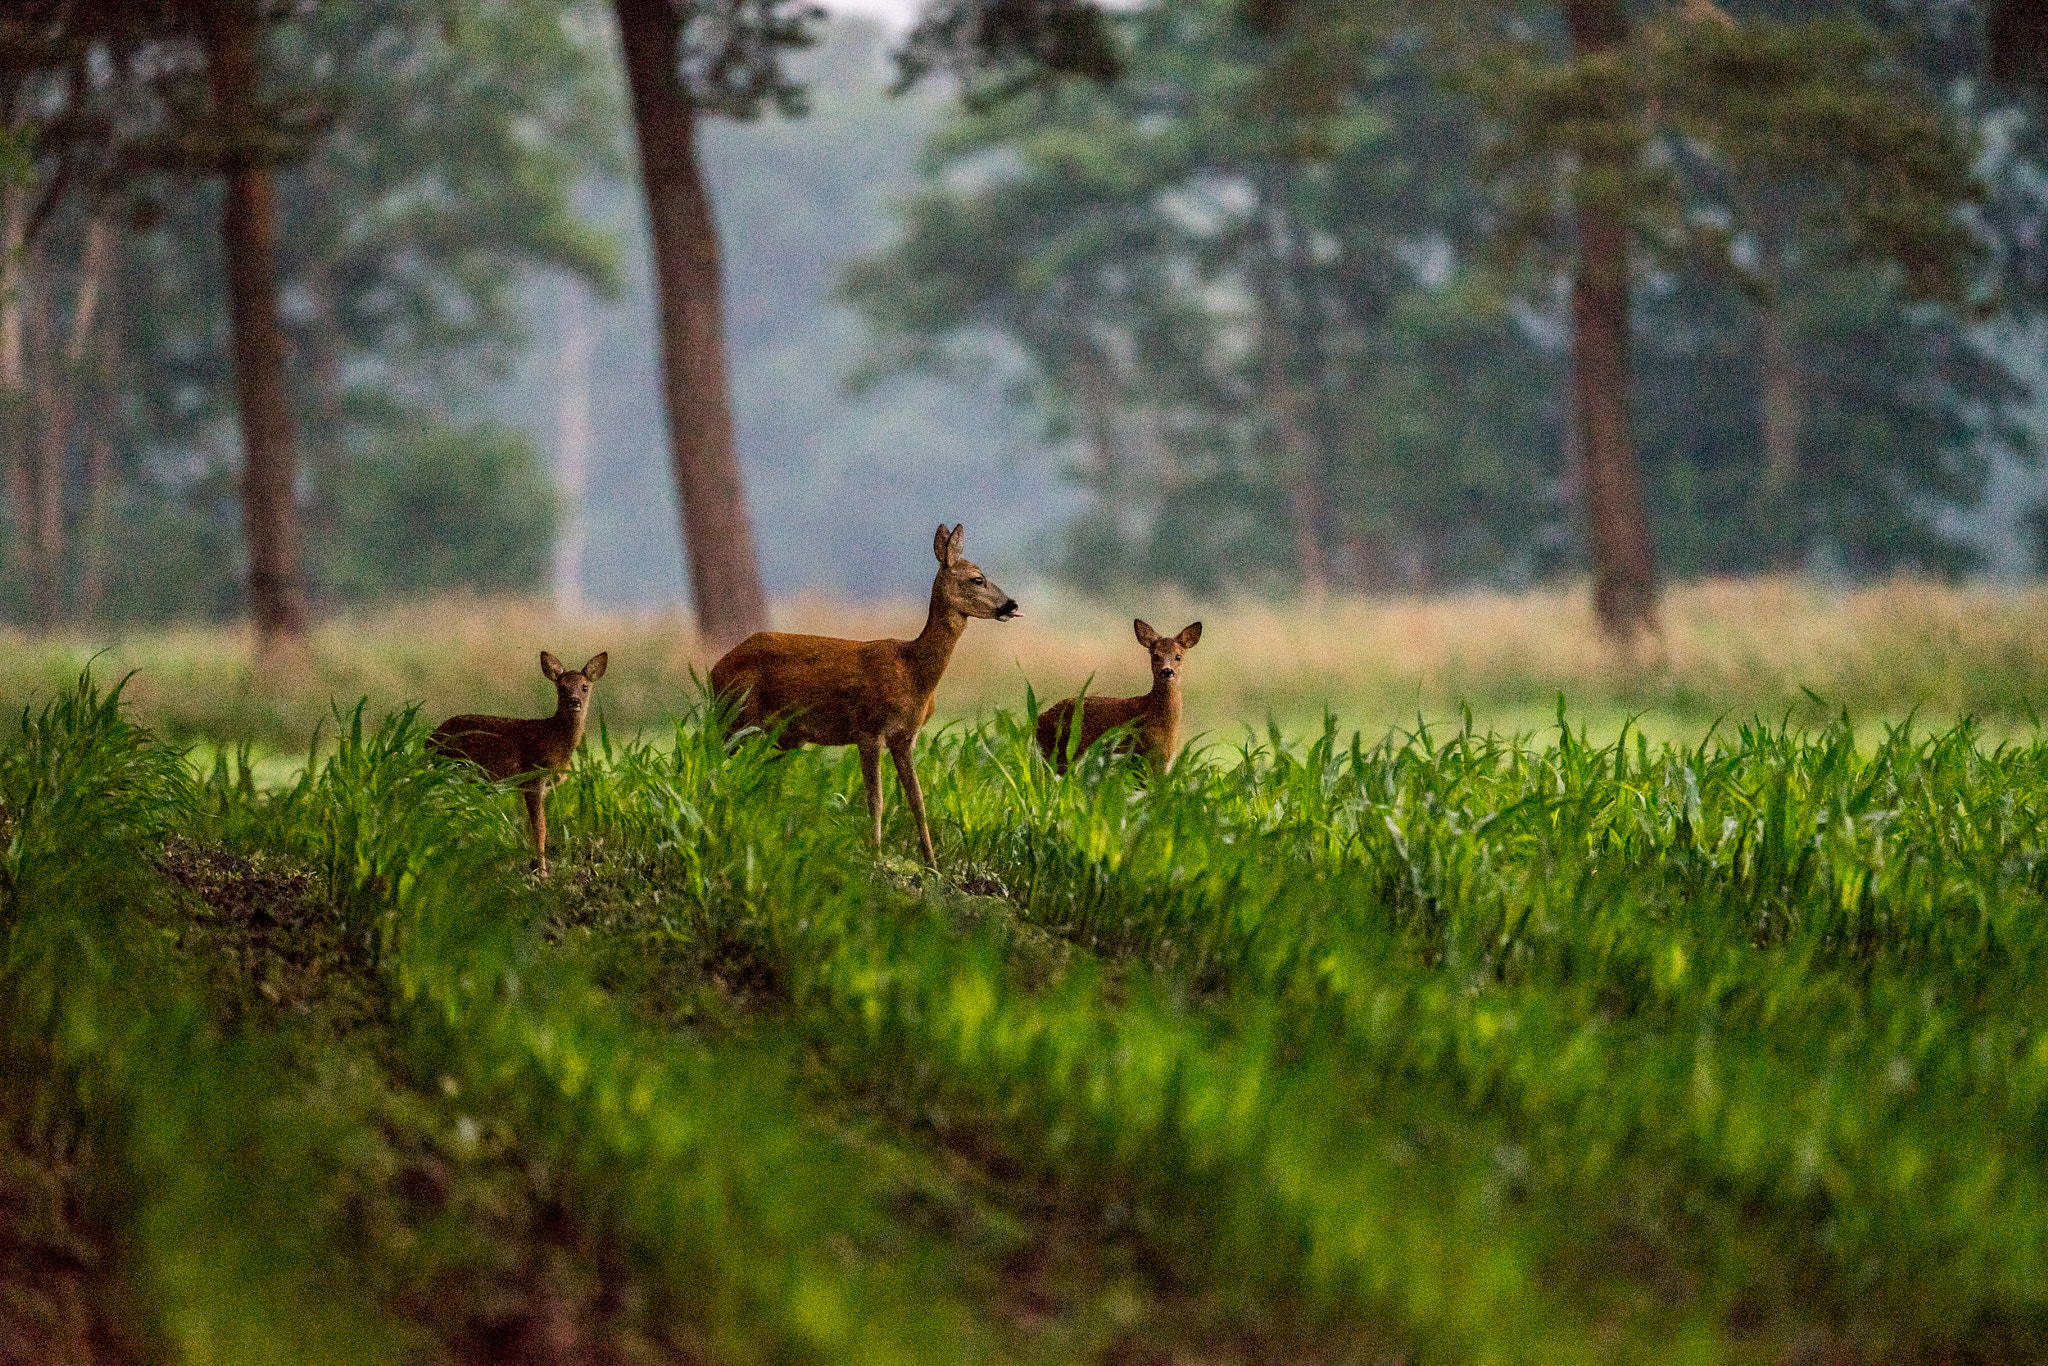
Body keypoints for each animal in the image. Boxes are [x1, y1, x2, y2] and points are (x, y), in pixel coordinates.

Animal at [428, 650, 608, 874]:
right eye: (562, 687)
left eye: (584, 686)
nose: (574, 701)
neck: (555, 738)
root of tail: (428, 741)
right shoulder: (533, 777)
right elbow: (540, 828)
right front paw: (542, 872)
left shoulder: (542, 786)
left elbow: (532, 827)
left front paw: (533, 866)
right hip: (451, 767)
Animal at [708, 523, 1020, 869]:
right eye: (977, 578)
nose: (1011, 604)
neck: (913, 673)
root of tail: (715, 671)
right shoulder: (869, 730)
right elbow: (876, 799)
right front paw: (876, 856)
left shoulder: (905, 737)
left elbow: (917, 799)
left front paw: (932, 865)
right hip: (736, 718)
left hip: (777, 735)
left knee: (757, 777)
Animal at [1035, 619, 1202, 774]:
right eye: (1155, 656)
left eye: (1178, 657)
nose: (1167, 671)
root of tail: (1038, 719)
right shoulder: (1140, 753)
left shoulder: (1164, 760)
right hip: (1060, 753)